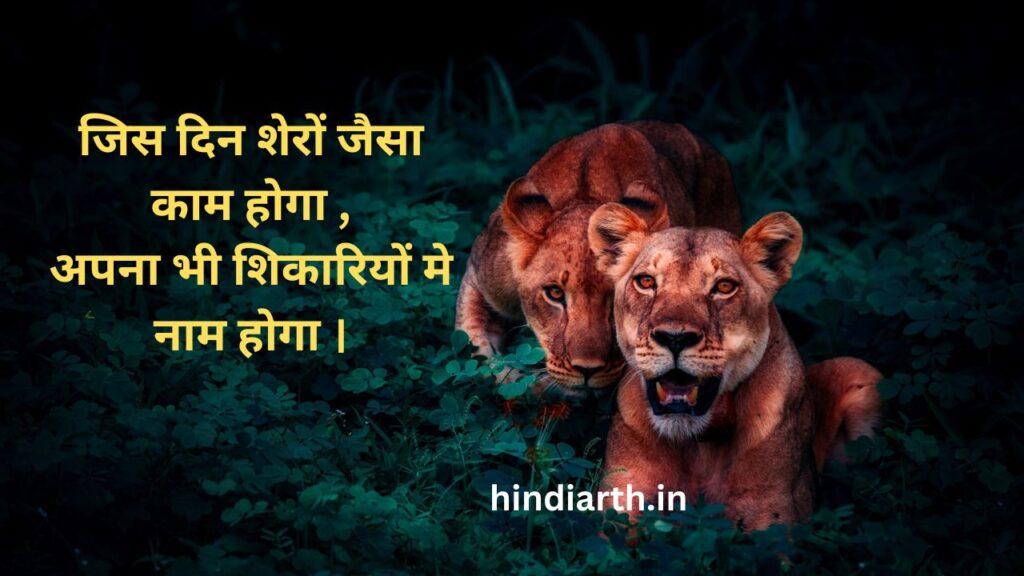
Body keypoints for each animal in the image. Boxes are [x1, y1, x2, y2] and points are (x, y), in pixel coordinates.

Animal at [588, 203, 881, 530]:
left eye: (724, 286)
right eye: (646, 281)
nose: (674, 337)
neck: (698, 444)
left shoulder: (773, 519)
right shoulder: (622, 503)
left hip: (860, 370)